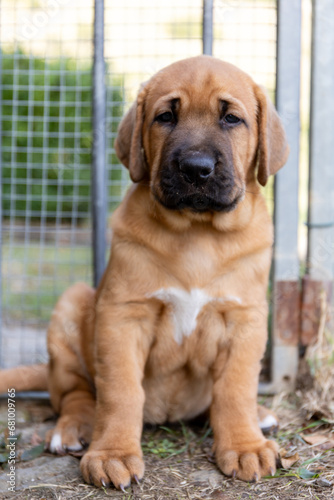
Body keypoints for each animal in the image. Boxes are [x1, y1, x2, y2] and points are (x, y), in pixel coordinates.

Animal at [0, 55, 288, 488]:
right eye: (165, 116)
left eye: (232, 119)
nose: (196, 168)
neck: (197, 233)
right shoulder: (122, 316)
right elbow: (120, 391)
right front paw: (112, 454)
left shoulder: (245, 320)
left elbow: (236, 388)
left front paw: (245, 445)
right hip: (71, 305)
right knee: (75, 394)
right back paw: (74, 428)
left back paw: (260, 416)